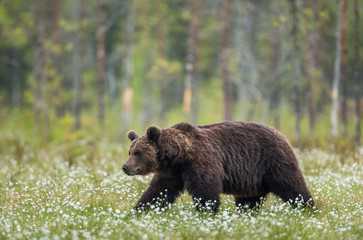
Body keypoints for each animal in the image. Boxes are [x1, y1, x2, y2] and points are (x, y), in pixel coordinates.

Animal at [123, 122, 316, 212]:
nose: (125, 167)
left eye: (138, 152)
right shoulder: (171, 174)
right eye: (130, 151)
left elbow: (206, 191)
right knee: (249, 200)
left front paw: (205, 213)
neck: (178, 156)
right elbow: (157, 193)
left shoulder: (201, 162)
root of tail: (280, 134)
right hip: (252, 180)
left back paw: (308, 208)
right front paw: (138, 211)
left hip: (273, 162)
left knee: (292, 186)